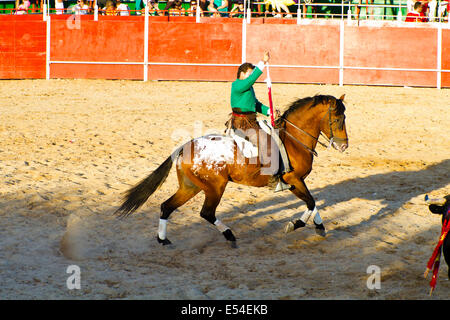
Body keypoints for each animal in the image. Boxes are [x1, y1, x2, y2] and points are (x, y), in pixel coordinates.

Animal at [114, 94, 350, 249]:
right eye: (338, 119)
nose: (344, 146)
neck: (292, 140)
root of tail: (185, 146)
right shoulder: (293, 179)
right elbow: (310, 202)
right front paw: (295, 225)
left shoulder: (297, 180)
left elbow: (312, 202)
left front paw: (320, 227)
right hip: (215, 187)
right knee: (206, 213)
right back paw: (230, 236)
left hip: (190, 187)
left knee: (167, 206)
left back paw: (163, 240)